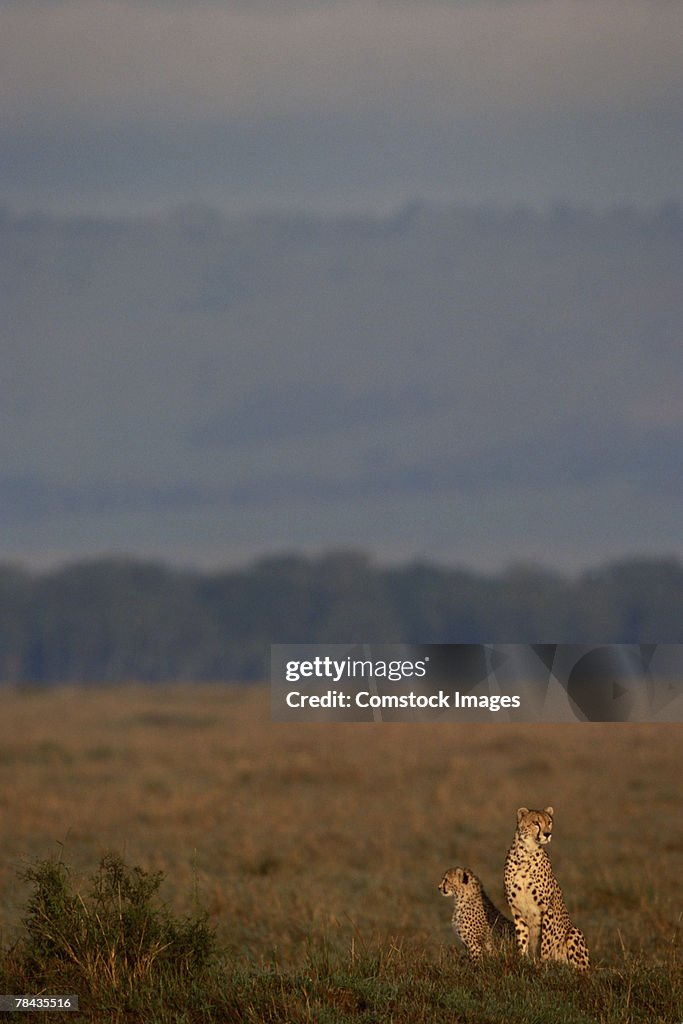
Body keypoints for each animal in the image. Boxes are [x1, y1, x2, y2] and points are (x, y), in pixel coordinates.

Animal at [505, 806, 589, 966]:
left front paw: (543, 964)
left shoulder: (547, 909)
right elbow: (522, 938)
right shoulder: (516, 910)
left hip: (573, 932)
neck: (526, 854)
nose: (547, 834)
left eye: (549, 822)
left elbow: (545, 941)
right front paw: (522, 959)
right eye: (536, 823)